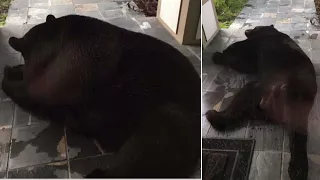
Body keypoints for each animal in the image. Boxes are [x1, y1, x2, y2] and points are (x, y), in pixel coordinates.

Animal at [206, 24, 316, 180]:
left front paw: (220, 54)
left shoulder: (255, 47)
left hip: (256, 89)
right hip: (297, 111)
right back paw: (298, 170)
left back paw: (214, 115)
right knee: (299, 136)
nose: (247, 30)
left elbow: (240, 58)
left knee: (235, 107)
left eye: (255, 27)